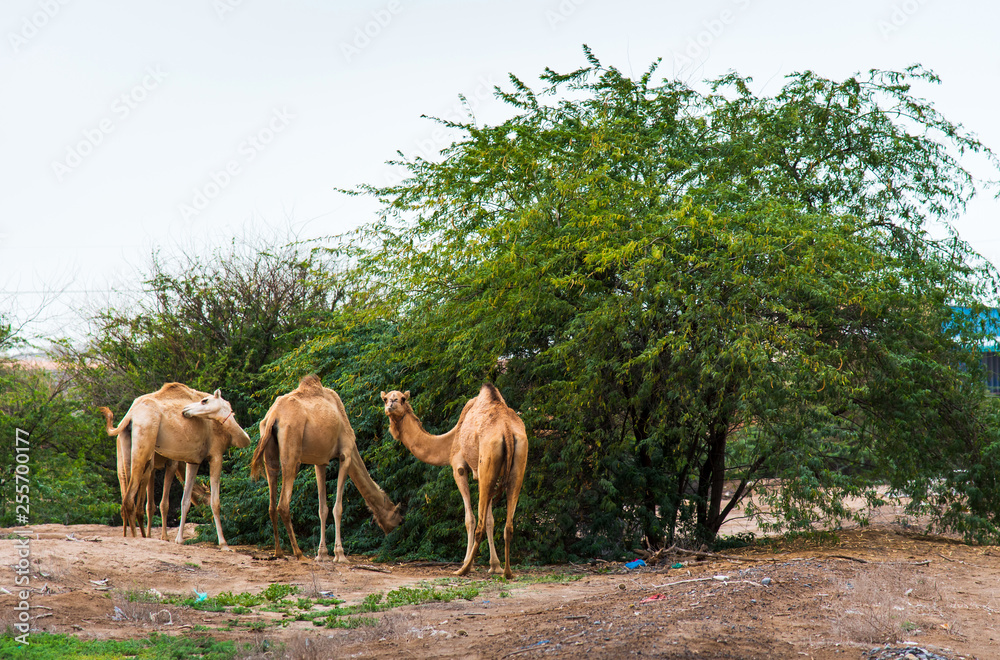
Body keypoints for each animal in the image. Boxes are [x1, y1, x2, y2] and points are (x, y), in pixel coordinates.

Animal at [99, 382, 252, 548]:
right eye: (204, 400)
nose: (185, 410)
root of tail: (130, 414)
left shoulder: (193, 460)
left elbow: (185, 501)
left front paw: (179, 539)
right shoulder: (216, 455)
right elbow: (215, 502)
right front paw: (223, 543)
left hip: (125, 446)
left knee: (125, 494)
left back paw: (131, 535)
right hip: (145, 442)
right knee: (129, 499)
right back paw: (136, 537)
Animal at [250, 376, 402, 564]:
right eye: (396, 514)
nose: (397, 526)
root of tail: (273, 416)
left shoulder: (320, 462)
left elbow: (322, 509)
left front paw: (321, 554)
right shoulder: (345, 455)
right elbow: (338, 508)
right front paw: (340, 555)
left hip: (269, 449)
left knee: (271, 502)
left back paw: (279, 553)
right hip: (292, 447)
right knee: (283, 504)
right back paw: (299, 553)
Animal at [378, 382, 528, 576]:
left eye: (402, 398)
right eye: (385, 398)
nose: (391, 404)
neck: (451, 439)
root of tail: (507, 430)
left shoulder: (460, 468)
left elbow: (470, 519)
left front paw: (470, 562)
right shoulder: (485, 476)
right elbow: (490, 520)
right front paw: (495, 566)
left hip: (488, 461)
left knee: (478, 524)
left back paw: (464, 568)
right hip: (517, 463)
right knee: (508, 524)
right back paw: (507, 572)